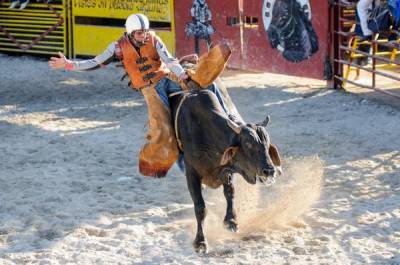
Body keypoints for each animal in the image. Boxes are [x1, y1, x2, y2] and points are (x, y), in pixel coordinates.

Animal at [169, 81, 282, 253]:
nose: (269, 170)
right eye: (248, 143)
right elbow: (200, 207)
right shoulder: (192, 173)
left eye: (267, 142)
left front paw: (231, 221)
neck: (206, 132)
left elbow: (230, 192)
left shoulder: (226, 170)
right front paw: (200, 242)